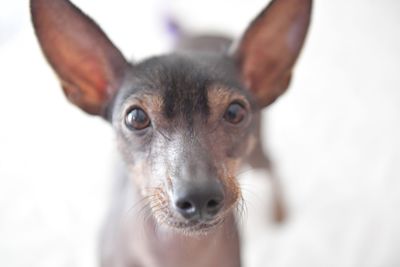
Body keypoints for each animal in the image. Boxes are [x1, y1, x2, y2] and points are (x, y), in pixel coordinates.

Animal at [31, 0, 312, 266]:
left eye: (235, 112)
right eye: (136, 118)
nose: (199, 197)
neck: (178, 250)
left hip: (256, 155)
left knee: (272, 165)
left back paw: (280, 212)